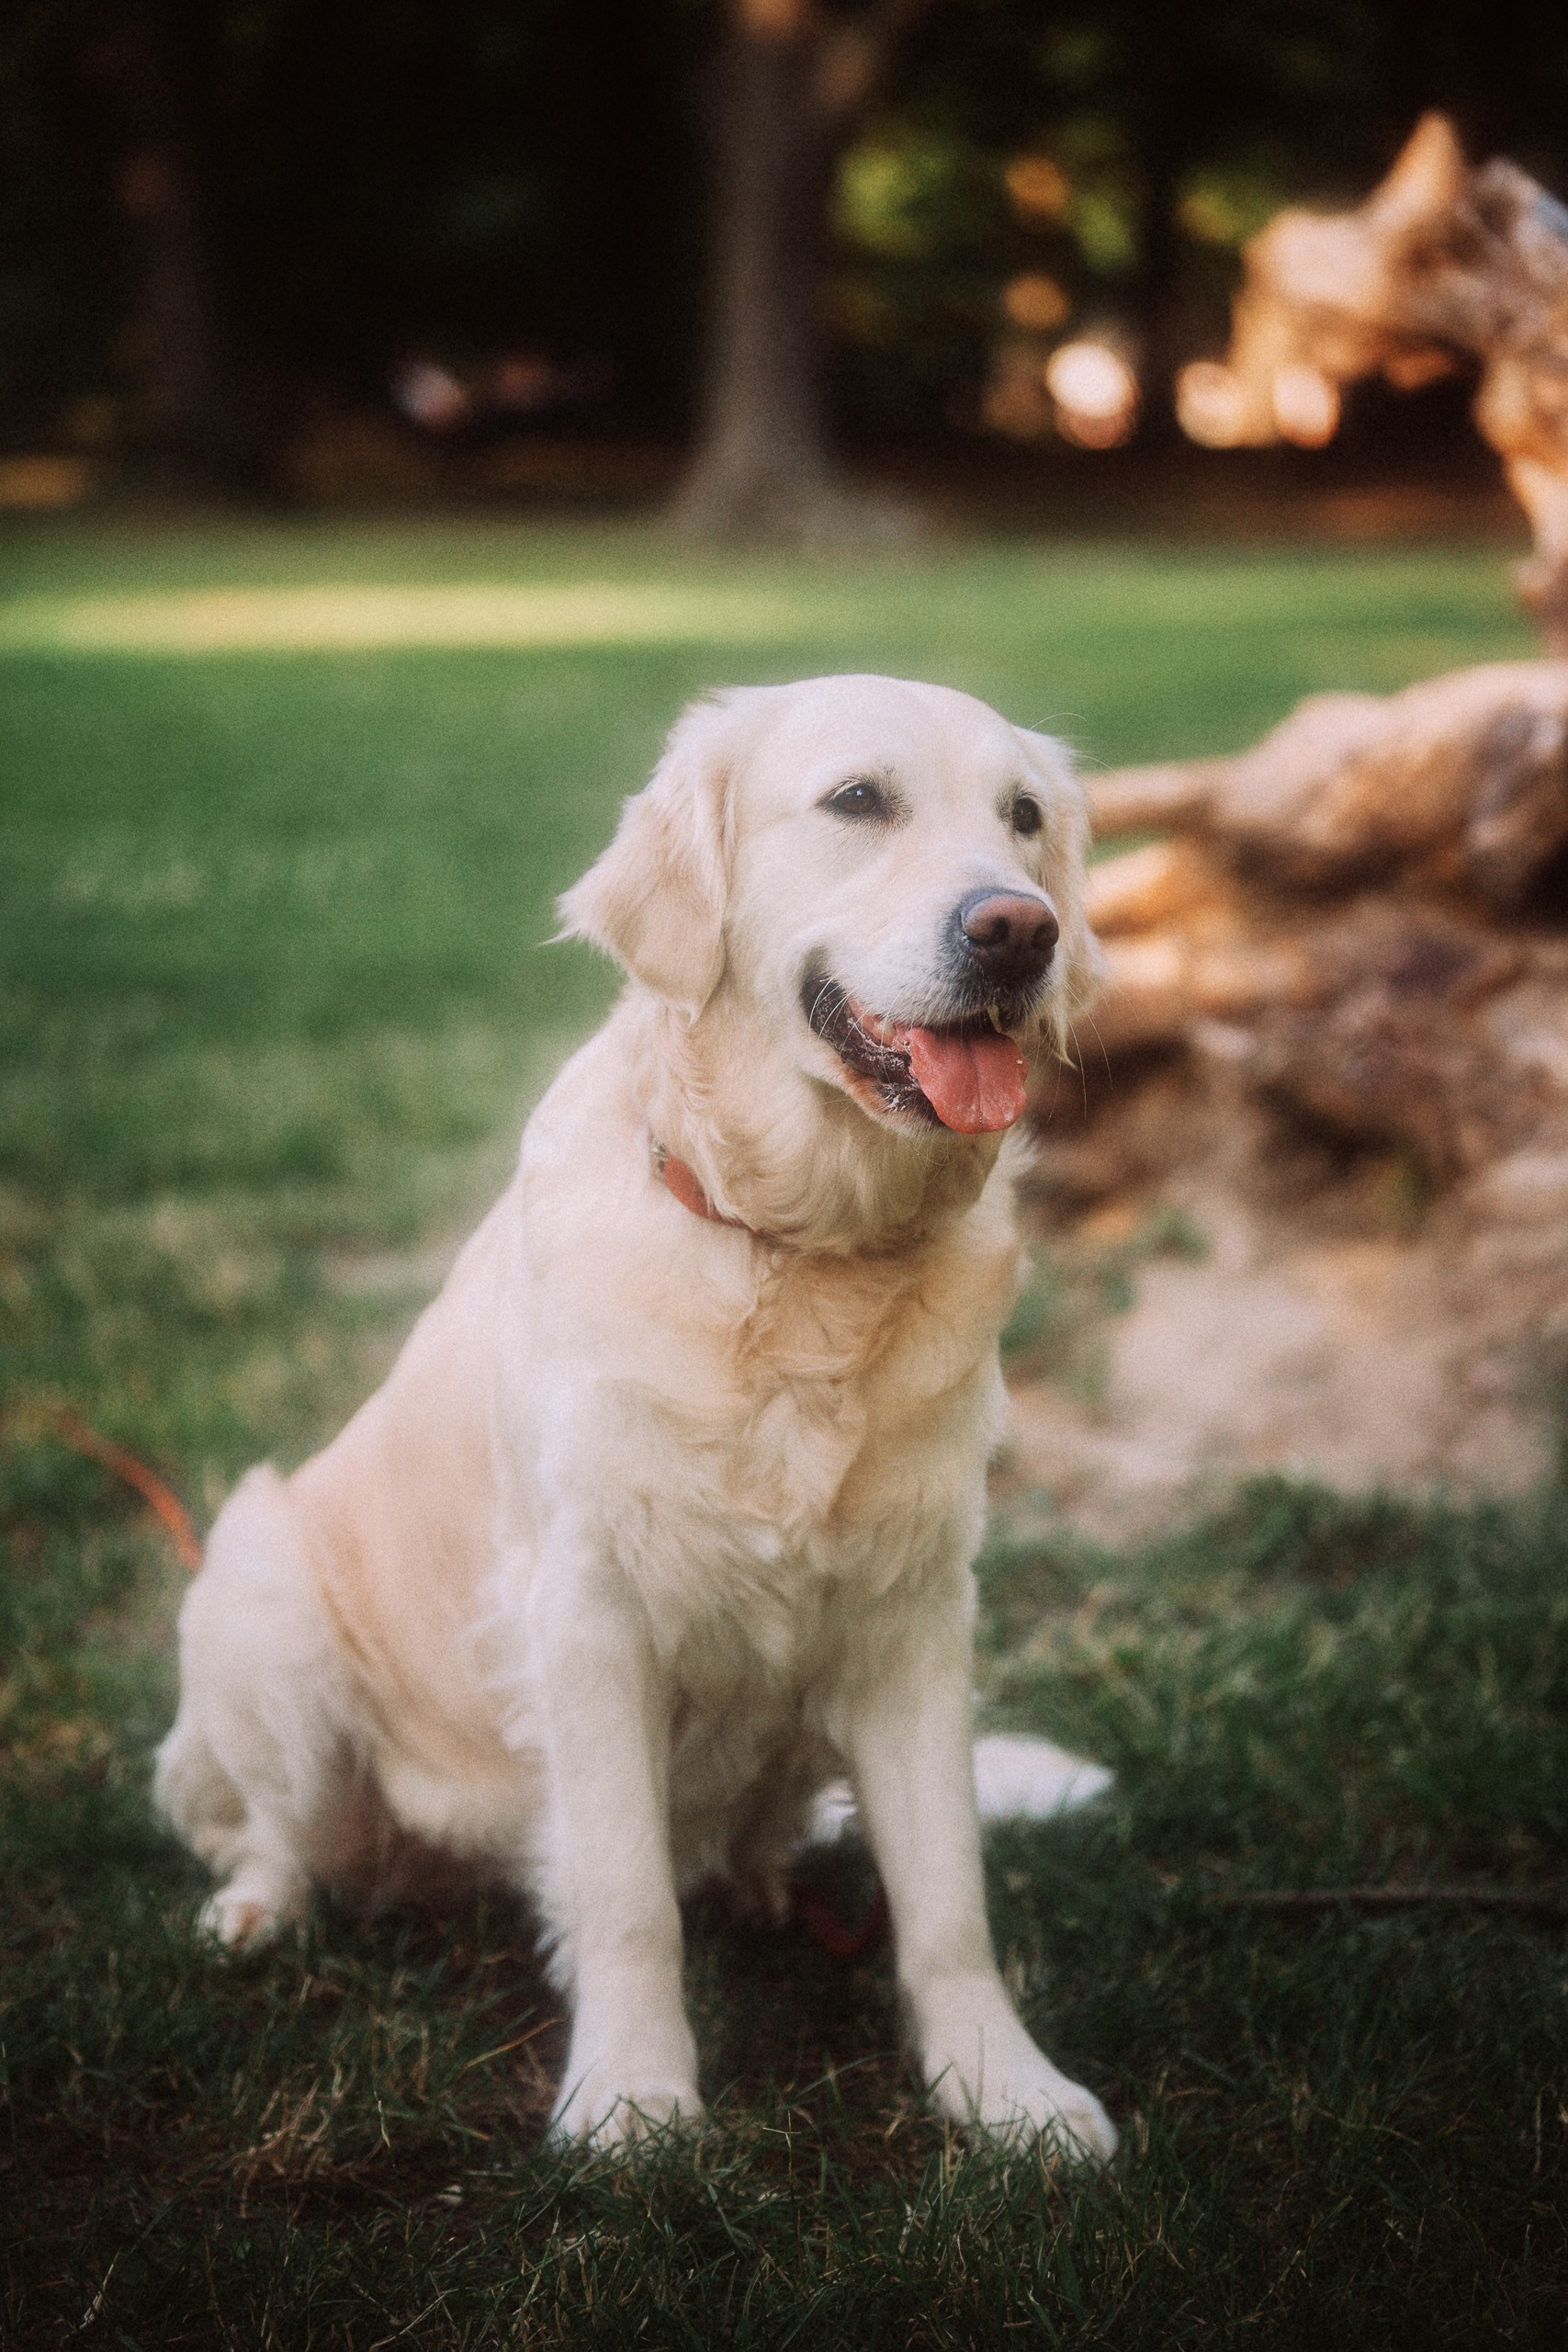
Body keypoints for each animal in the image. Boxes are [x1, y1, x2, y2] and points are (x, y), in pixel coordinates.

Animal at [155, 672, 1116, 2162]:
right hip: (262, 1598)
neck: (804, 1257)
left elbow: (949, 1899)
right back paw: (254, 1911)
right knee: (266, 1831)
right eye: (857, 799)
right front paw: (632, 2100)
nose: (1020, 930)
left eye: (1022, 817)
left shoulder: (914, 1613)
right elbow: (622, 1894)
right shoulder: (589, 1612)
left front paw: (1003, 2090)